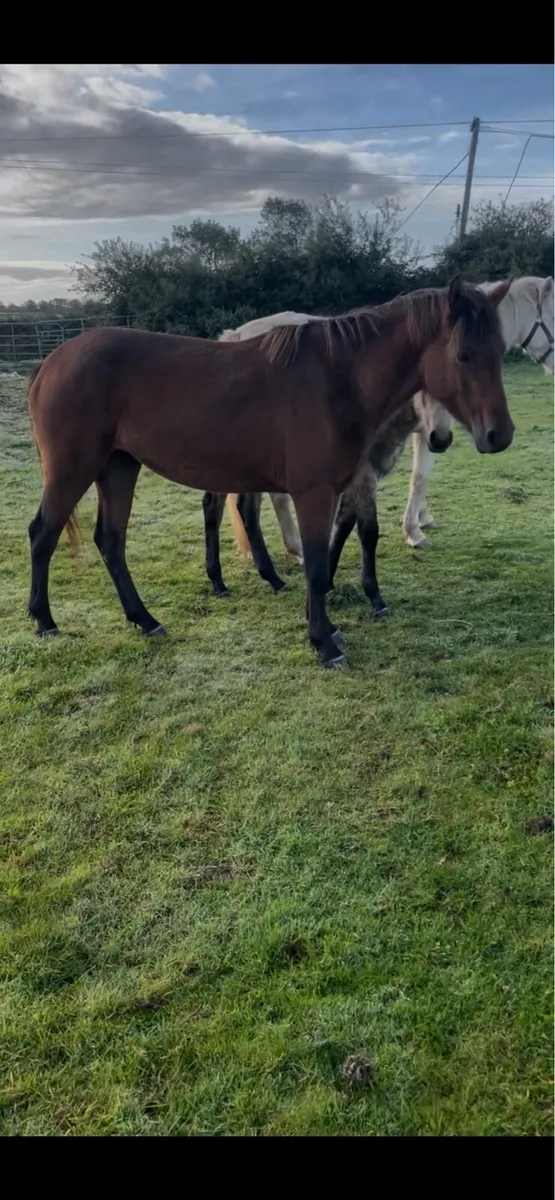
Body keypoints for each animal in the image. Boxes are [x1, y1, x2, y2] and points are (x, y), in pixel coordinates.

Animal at [27, 277, 513, 668]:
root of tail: (50, 362)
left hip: (118, 467)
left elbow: (333, 551)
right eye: (463, 354)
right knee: (44, 534)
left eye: (501, 352)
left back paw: (144, 620)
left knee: (111, 541)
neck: (337, 381)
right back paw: (45, 621)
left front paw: (330, 625)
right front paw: (324, 644)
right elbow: (316, 565)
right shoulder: (314, 492)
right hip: (73, 470)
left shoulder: (339, 488)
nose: (499, 435)